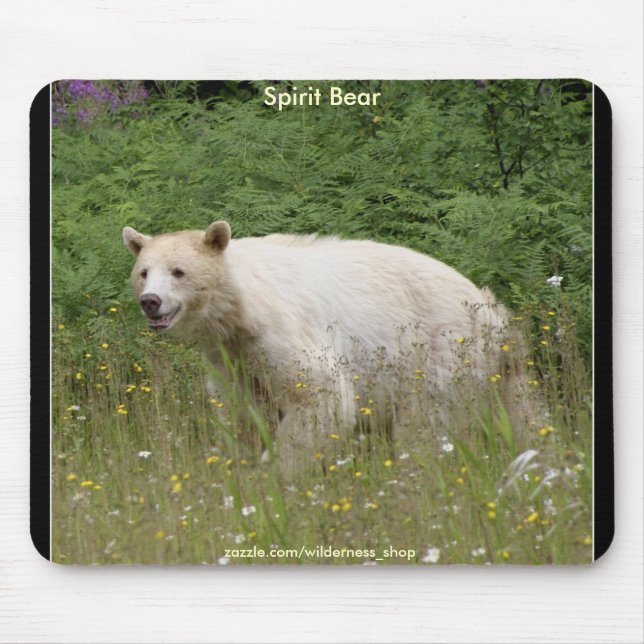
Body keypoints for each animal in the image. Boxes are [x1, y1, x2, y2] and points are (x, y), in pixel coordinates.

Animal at [123, 221, 533, 470]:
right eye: (143, 272)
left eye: (179, 271)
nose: (151, 301)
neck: (240, 311)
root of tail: (494, 312)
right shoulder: (231, 357)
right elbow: (244, 412)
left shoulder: (285, 331)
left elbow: (321, 396)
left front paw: (278, 472)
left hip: (440, 351)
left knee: (427, 423)